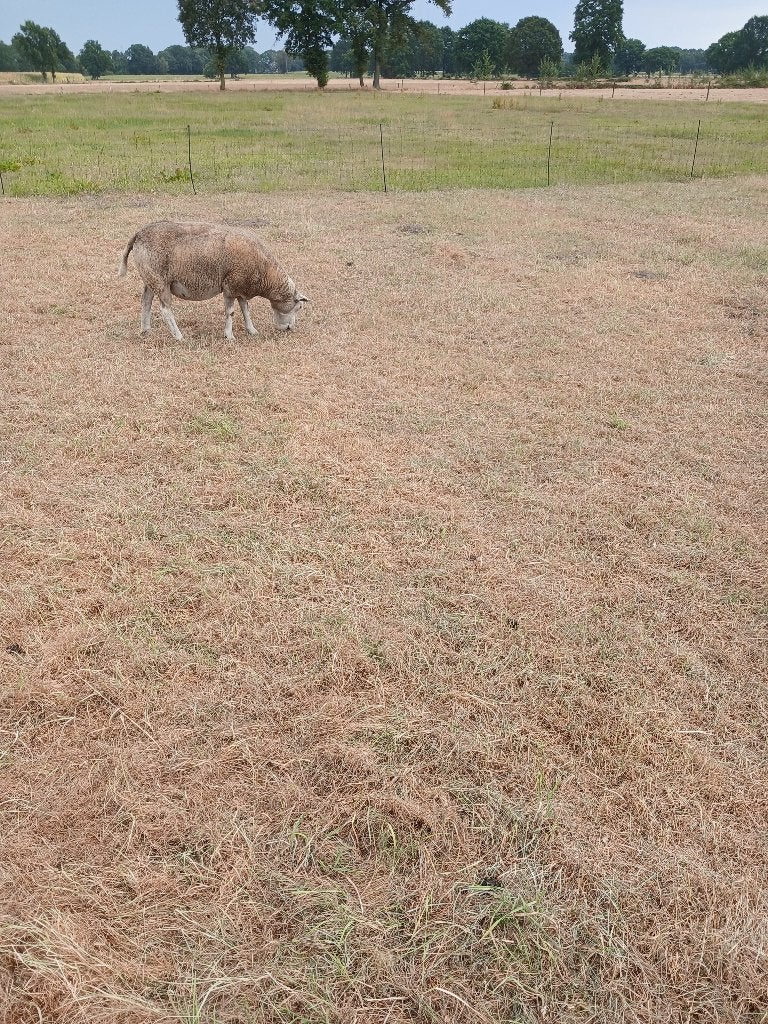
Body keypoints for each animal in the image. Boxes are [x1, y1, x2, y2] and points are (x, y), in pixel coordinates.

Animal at [118, 220, 308, 341]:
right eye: (298, 307)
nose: (290, 329)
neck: (265, 274)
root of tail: (138, 234)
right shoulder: (230, 286)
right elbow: (231, 312)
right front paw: (229, 336)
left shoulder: (240, 287)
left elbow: (245, 310)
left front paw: (252, 330)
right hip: (160, 281)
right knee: (165, 310)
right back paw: (178, 336)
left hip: (150, 278)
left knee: (145, 302)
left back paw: (145, 330)